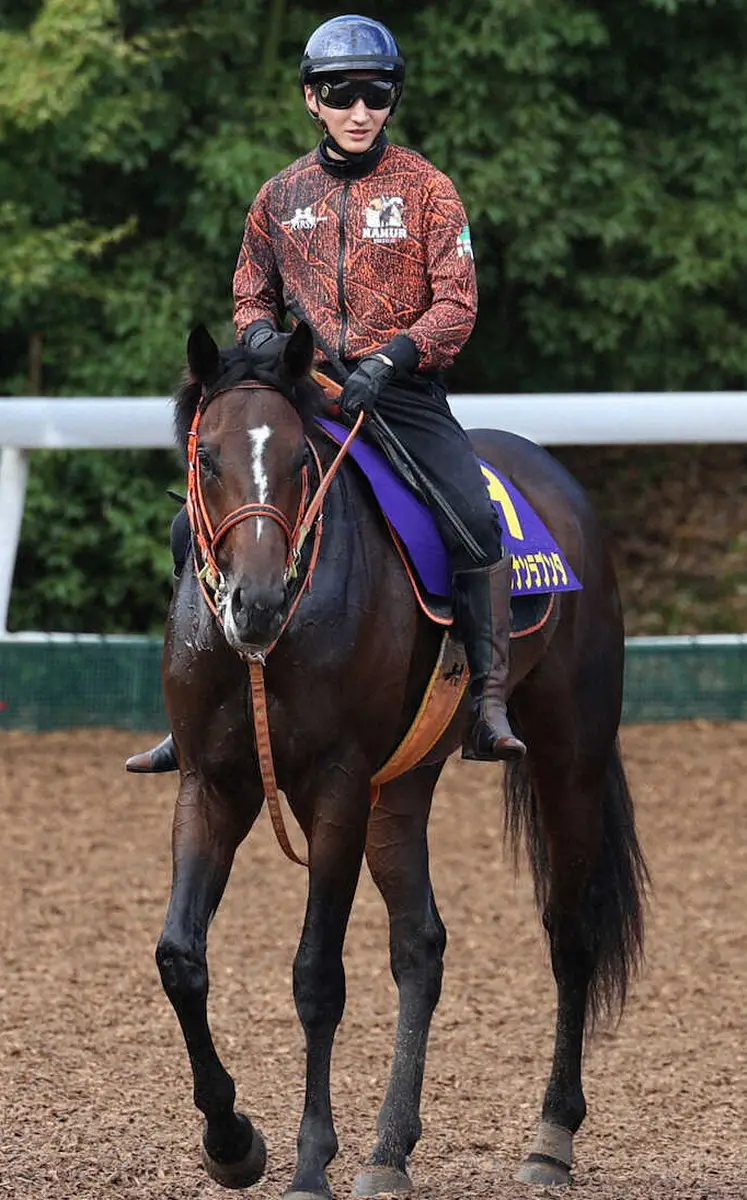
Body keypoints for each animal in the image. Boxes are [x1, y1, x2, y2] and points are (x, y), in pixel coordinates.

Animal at [156, 321, 648, 1200]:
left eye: (300, 460)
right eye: (206, 456)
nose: (255, 604)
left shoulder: (337, 792)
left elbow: (316, 977)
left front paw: (309, 1162)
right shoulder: (211, 785)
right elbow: (181, 959)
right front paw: (231, 1142)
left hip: (570, 755)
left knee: (570, 935)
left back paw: (550, 1138)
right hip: (404, 785)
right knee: (421, 944)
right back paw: (389, 1150)